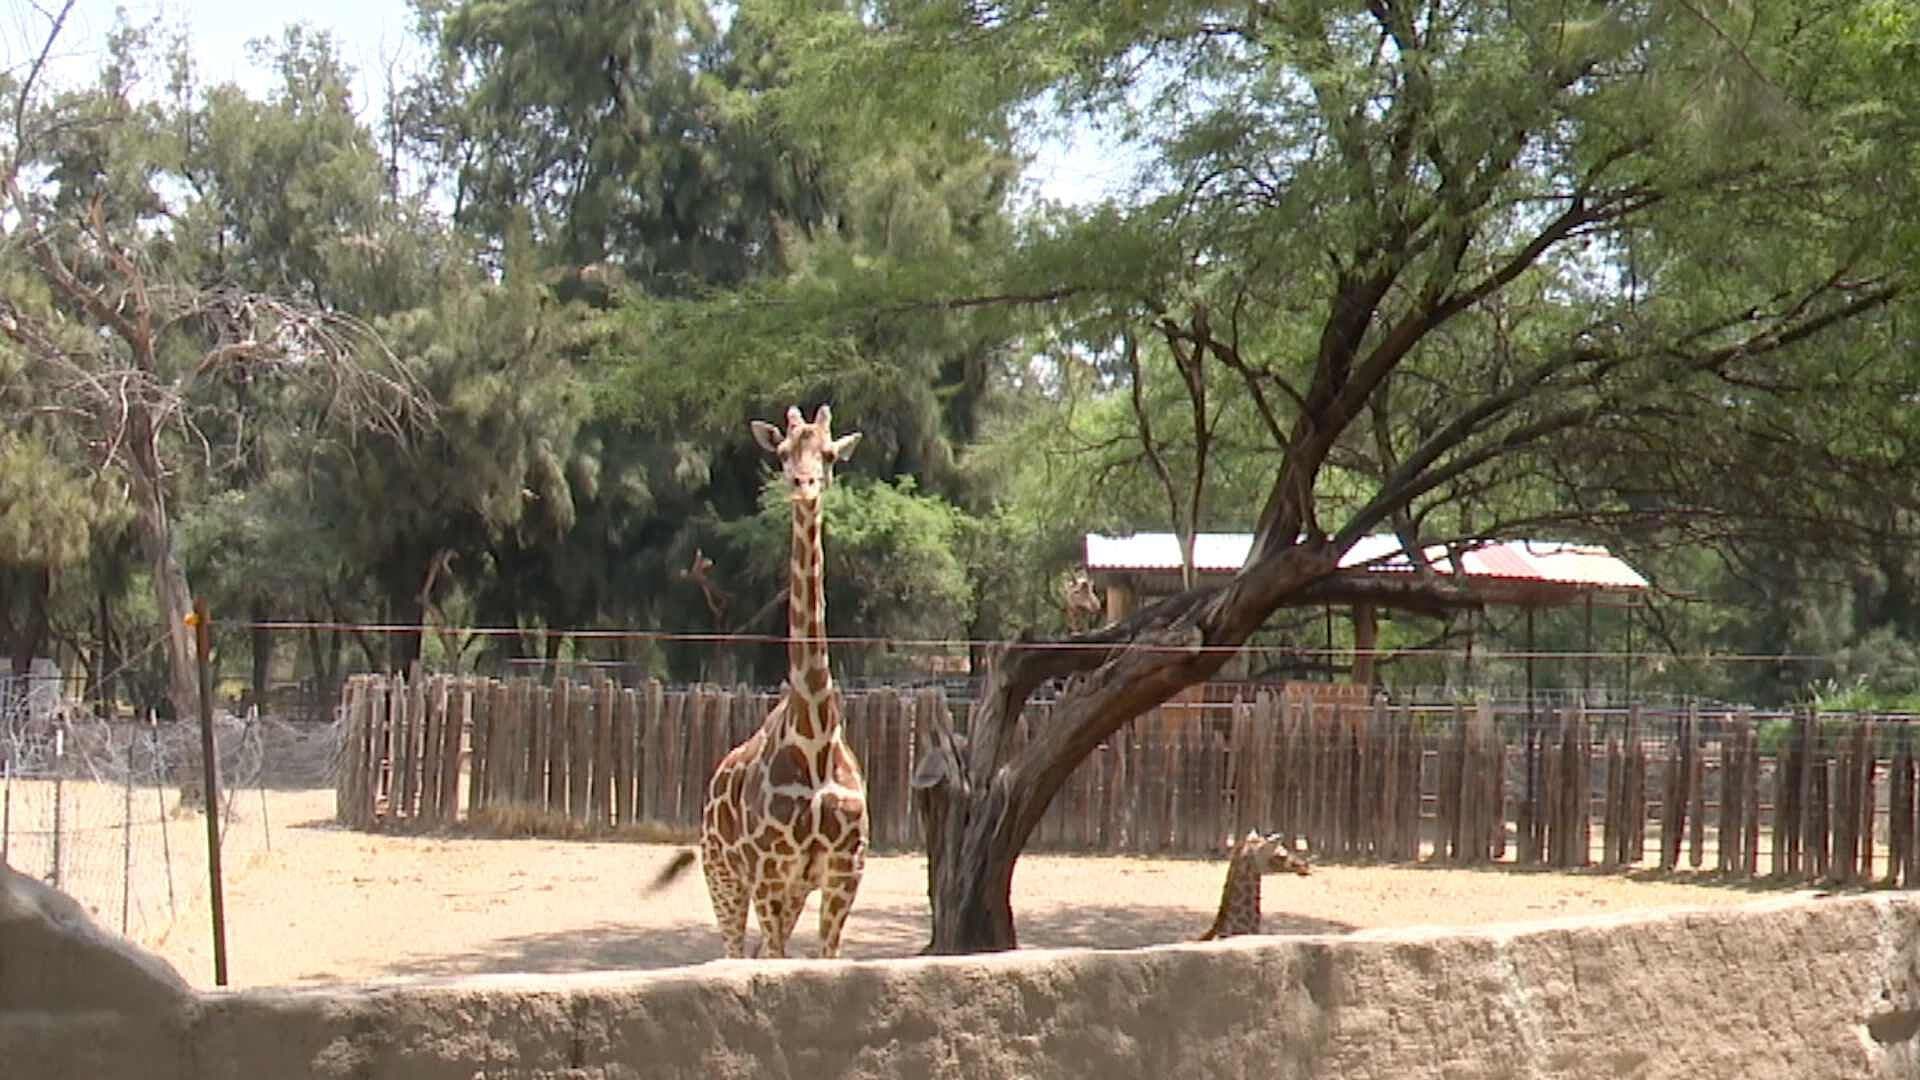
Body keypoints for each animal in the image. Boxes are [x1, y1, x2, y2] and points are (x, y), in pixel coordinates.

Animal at [649, 405, 868, 959]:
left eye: (829, 455)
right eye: (783, 452)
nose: (803, 485)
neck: (815, 738)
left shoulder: (843, 873)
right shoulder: (770, 871)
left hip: (786, 889)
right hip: (723, 876)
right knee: (735, 949)